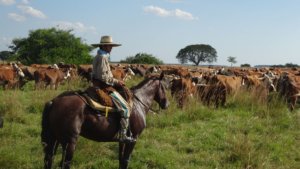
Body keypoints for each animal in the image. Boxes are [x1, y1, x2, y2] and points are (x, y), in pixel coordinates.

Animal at [41, 73, 170, 169]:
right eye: (164, 87)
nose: (166, 104)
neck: (138, 103)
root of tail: (54, 101)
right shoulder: (133, 139)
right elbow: (126, 161)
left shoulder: (123, 140)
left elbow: (121, 160)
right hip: (70, 142)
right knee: (65, 163)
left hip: (55, 139)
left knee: (49, 159)